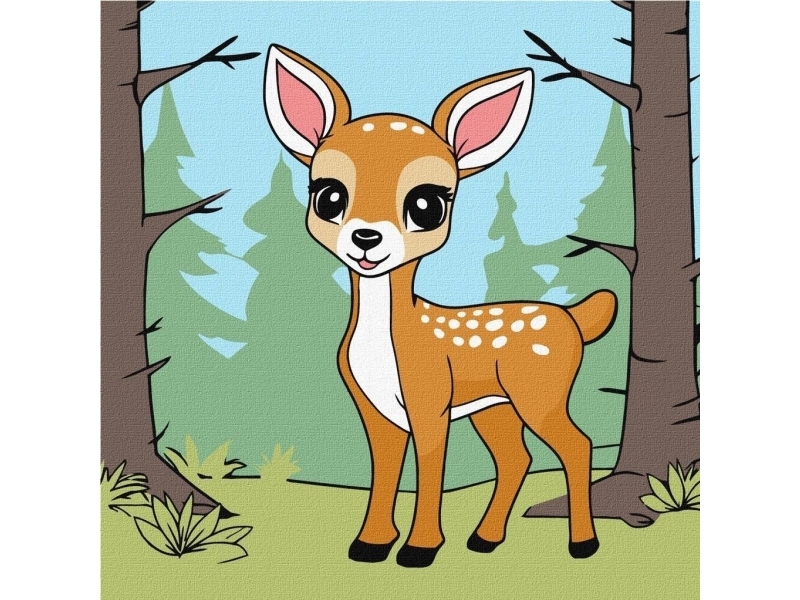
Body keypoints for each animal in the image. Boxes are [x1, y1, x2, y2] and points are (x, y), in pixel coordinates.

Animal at [263, 45, 617, 568]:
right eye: (328, 195)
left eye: (427, 204)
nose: (366, 237)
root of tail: (572, 317)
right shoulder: (374, 409)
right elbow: (384, 472)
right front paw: (370, 544)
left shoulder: (430, 399)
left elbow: (430, 468)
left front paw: (419, 550)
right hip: (495, 406)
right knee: (517, 458)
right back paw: (484, 539)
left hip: (540, 392)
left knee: (577, 446)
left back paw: (583, 544)